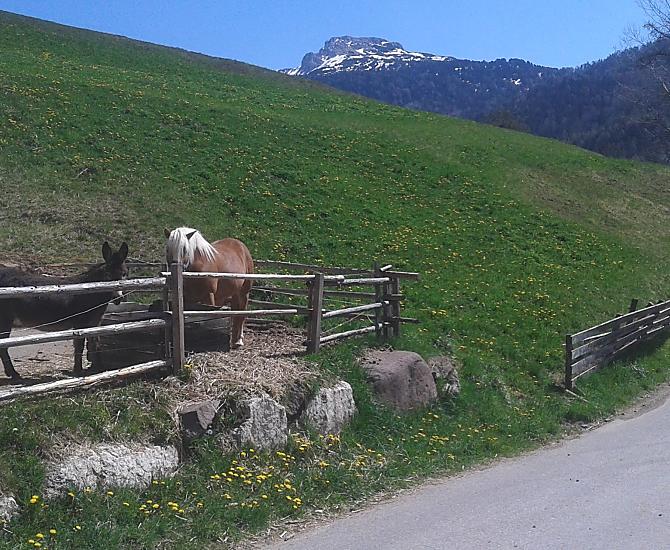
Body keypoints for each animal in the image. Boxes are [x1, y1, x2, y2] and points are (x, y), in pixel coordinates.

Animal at [0, 242, 129, 379]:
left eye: (124, 274)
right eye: (108, 275)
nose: (119, 299)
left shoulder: (95, 323)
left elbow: (95, 343)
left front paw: (98, 368)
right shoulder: (80, 323)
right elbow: (79, 346)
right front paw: (78, 371)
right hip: (5, 319)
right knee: (3, 346)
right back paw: (14, 374)